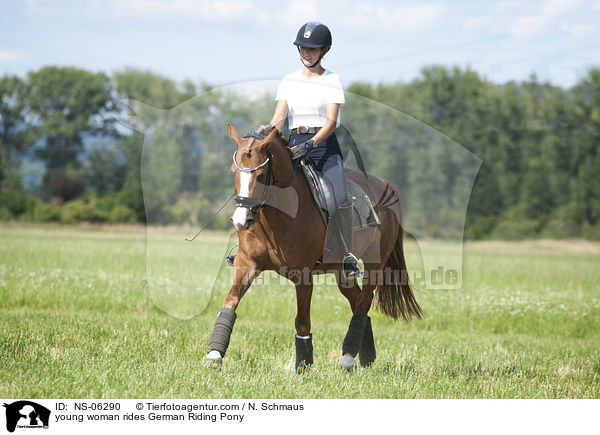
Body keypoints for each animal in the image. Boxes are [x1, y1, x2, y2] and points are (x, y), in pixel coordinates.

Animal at [206, 123, 422, 372]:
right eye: (234, 171)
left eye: (260, 175)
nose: (242, 221)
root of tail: (387, 186)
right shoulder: (246, 264)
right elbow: (229, 302)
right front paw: (214, 354)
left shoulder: (303, 275)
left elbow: (302, 322)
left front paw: (303, 365)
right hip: (342, 273)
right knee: (356, 300)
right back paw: (365, 357)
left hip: (374, 264)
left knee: (364, 302)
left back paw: (348, 357)